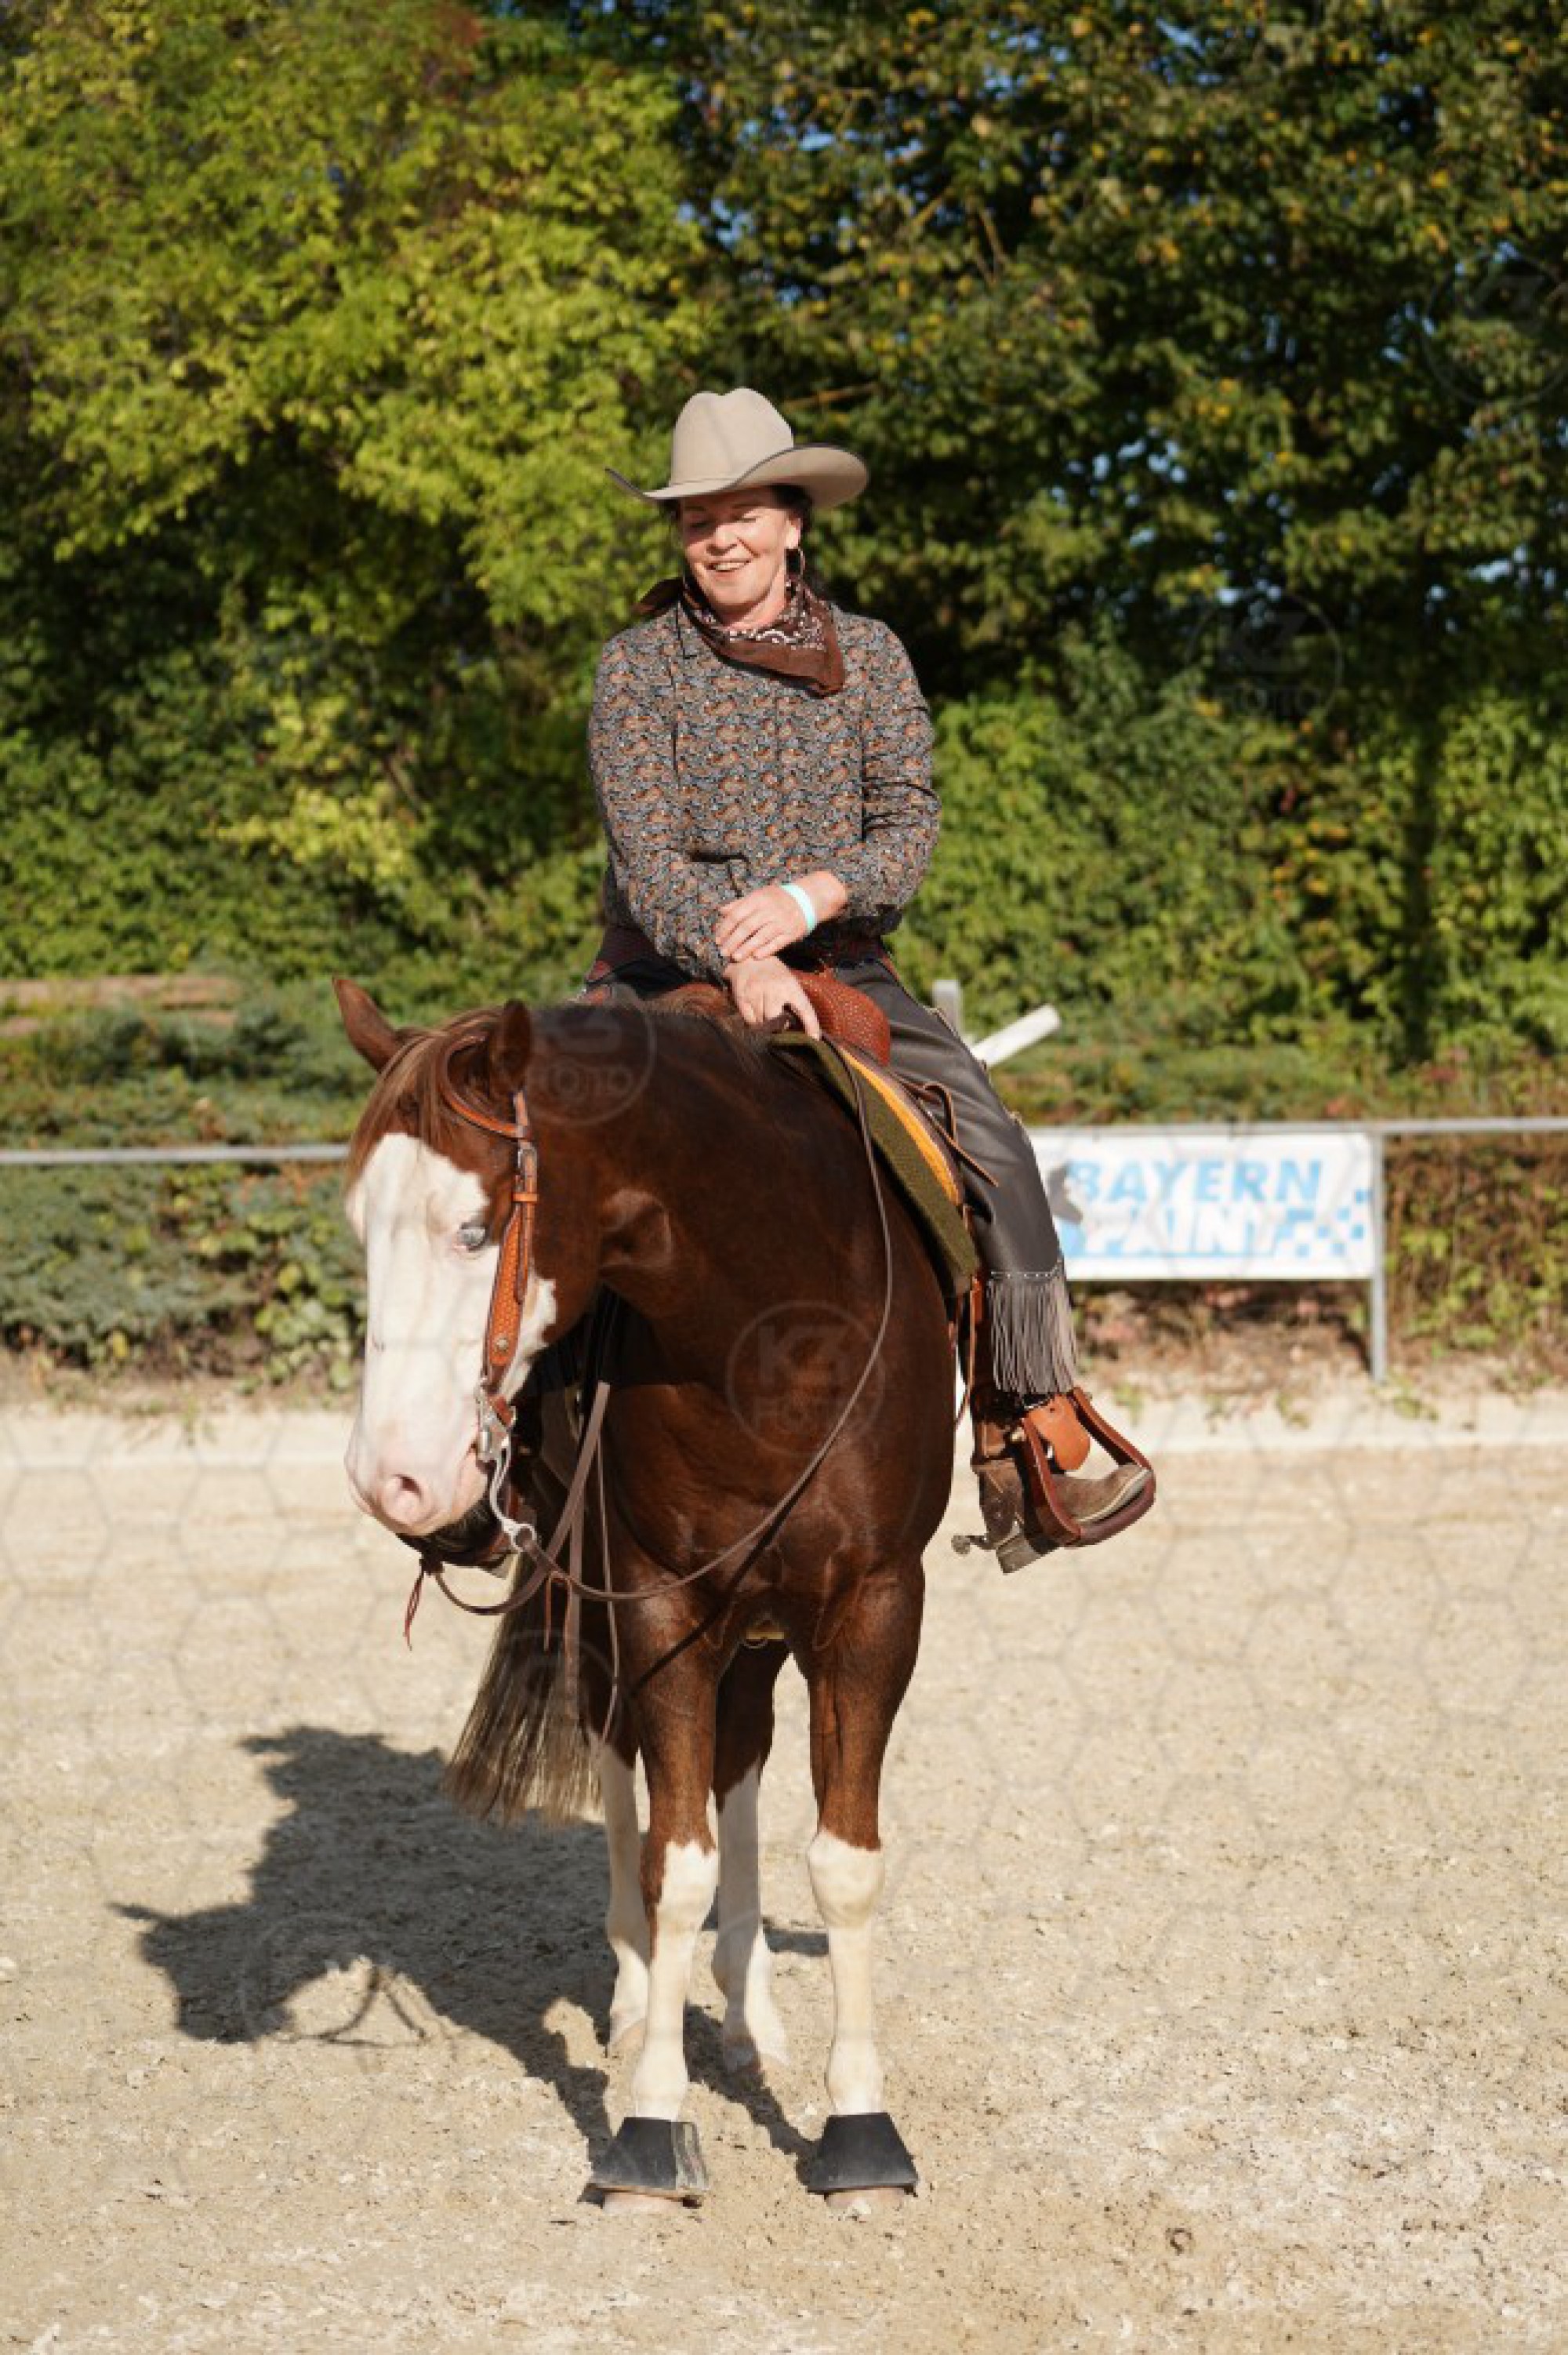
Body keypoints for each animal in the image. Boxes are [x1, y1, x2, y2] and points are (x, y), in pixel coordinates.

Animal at [335, 977, 957, 2207]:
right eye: (358, 1227)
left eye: (474, 1228)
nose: (393, 1478)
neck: (770, 1333)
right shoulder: (659, 1601)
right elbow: (677, 1859)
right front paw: (649, 2124)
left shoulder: (873, 1607)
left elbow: (842, 1861)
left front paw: (860, 2127)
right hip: (609, 1614)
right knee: (620, 1756)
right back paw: (634, 2002)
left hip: (762, 1626)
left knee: (742, 1761)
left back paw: (749, 2013)